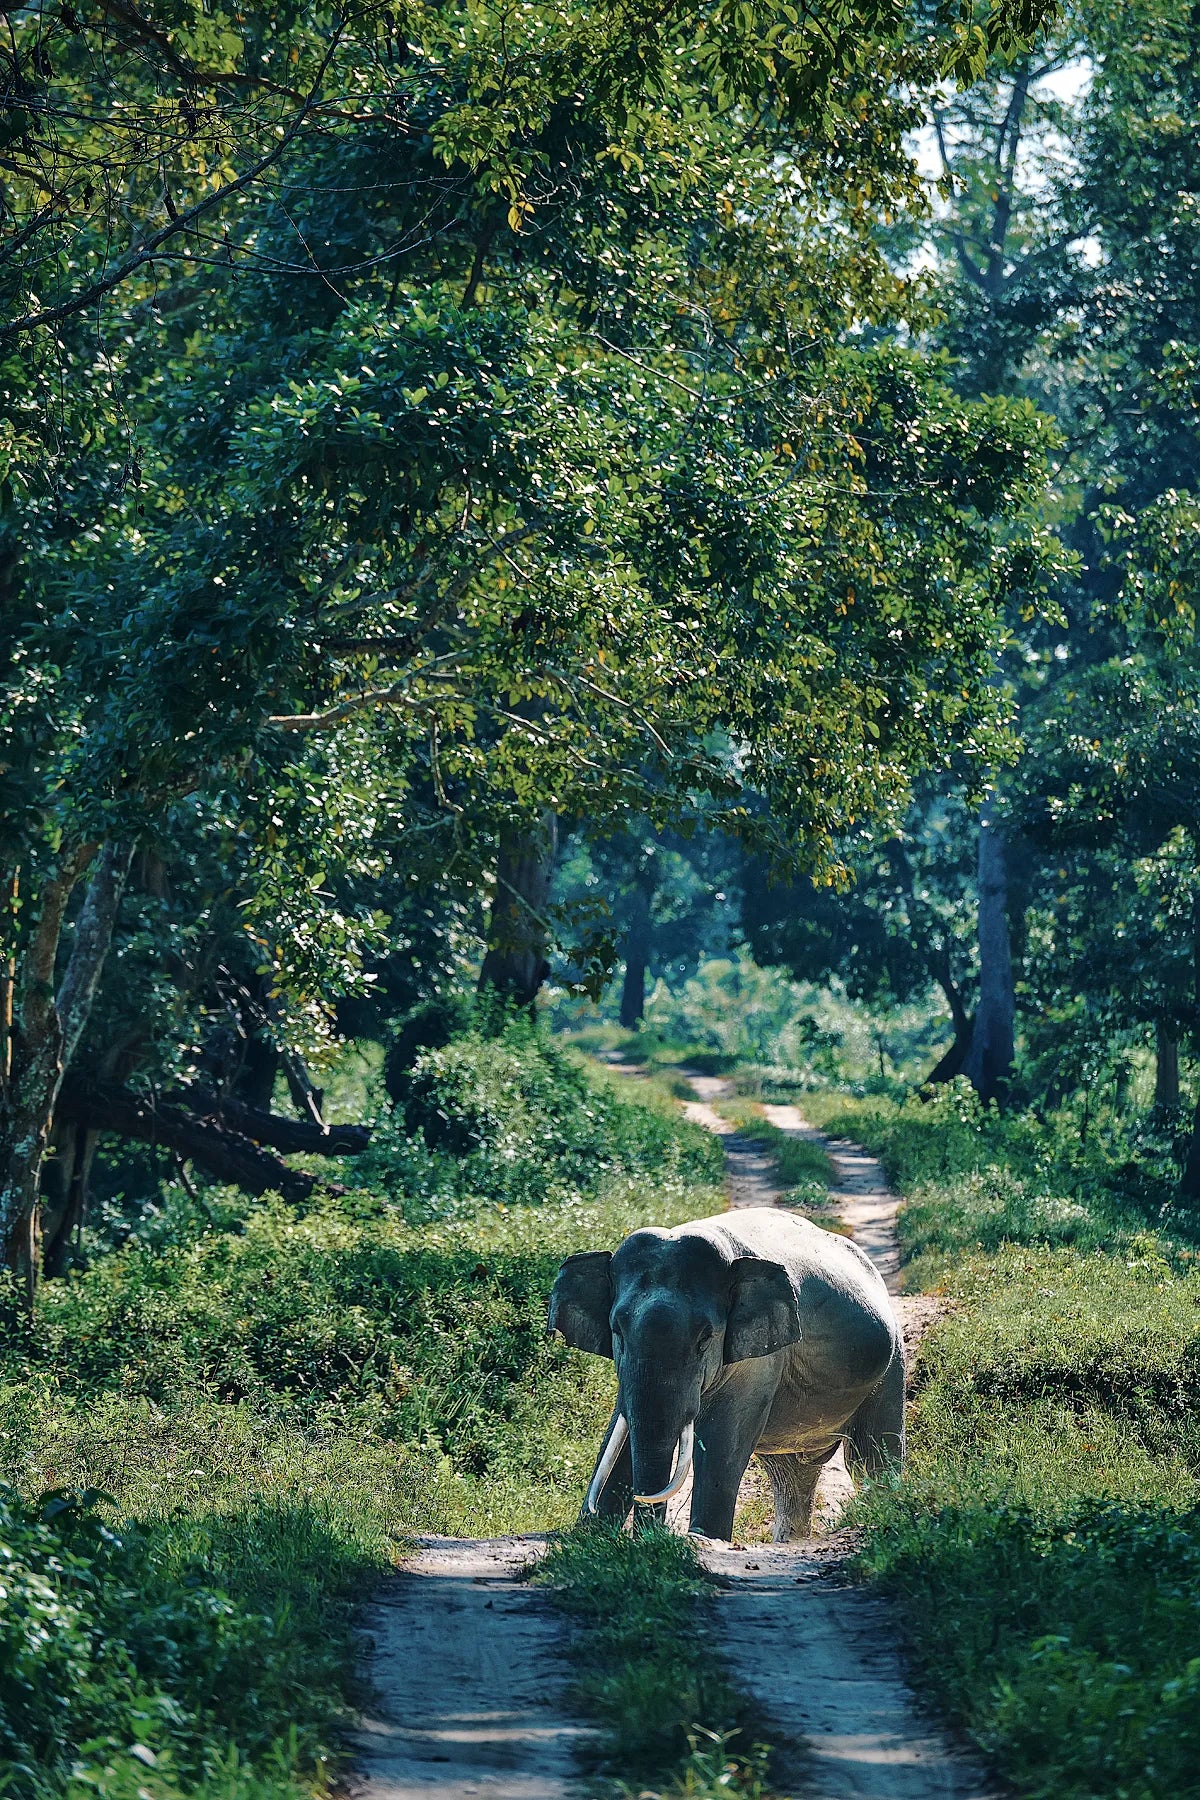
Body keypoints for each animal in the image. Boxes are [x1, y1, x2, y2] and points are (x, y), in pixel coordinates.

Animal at [548, 1205, 904, 1541]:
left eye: (706, 1338)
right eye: (617, 1331)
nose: (649, 1534)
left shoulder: (760, 1362)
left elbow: (721, 1444)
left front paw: (702, 1538)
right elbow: (620, 1433)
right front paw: (588, 1536)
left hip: (891, 1365)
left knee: (870, 1460)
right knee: (791, 1476)